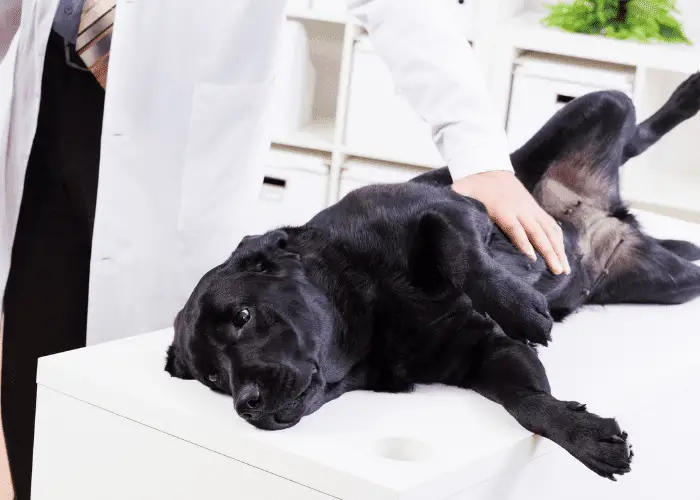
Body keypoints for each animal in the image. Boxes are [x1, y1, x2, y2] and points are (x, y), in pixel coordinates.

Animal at [165, 74, 700, 480]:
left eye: (243, 315)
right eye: (213, 378)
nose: (246, 404)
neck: (373, 305)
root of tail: (609, 213)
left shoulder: (454, 210)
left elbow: (456, 249)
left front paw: (523, 310)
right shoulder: (486, 356)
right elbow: (528, 402)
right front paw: (584, 435)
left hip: (597, 105)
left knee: (637, 132)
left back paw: (688, 93)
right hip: (668, 283)